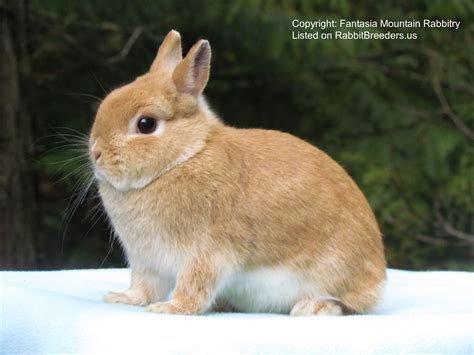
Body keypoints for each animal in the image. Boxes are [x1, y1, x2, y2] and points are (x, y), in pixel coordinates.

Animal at [90, 29, 386, 316]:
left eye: (146, 124)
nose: (96, 153)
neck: (184, 156)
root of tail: (379, 277)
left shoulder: (206, 254)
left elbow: (194, 286)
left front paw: (170, 308)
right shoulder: (146, 262)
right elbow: (143, 287)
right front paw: (122, 298)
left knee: (352, 304)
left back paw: (313, 307)